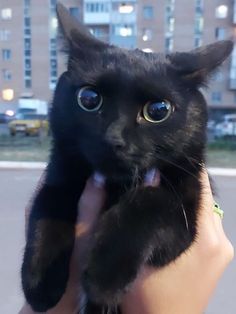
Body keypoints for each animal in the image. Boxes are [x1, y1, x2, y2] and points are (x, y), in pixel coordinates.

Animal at [21, 3, 233, 314]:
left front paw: (103, 276)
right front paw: (40, 281)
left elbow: (150, 200)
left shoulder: (187, 215)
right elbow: (47, 207)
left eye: (158, 110)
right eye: (88, 98)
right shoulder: (60, 175)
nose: (113, 138)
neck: (115, 184)